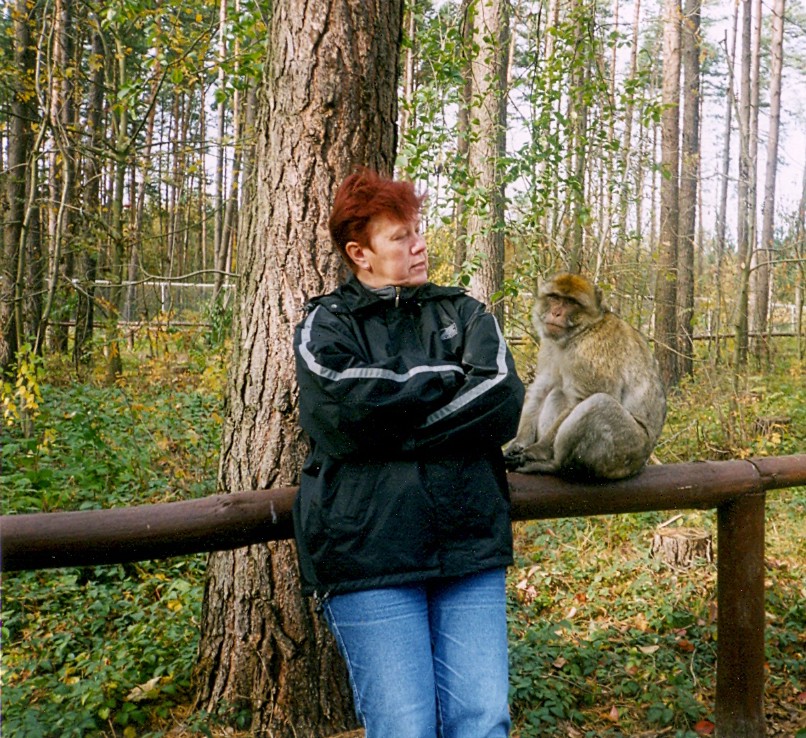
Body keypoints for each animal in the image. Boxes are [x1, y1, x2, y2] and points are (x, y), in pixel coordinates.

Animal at [504, 274, 668, 480]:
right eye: (555, 298)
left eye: (570, 302)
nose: (556, 313)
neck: (581, 331)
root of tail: (642, 463)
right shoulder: (549, 345)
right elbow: (542, 388)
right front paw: (518, 443)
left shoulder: (590, 353)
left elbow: (583, 398)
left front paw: (535, 450)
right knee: (557, 393)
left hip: (626, 451)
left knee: (599, 403)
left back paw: (553, 465)